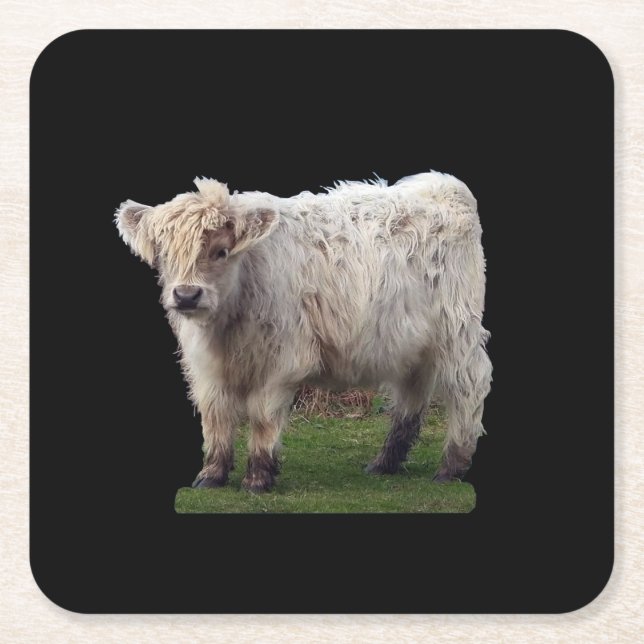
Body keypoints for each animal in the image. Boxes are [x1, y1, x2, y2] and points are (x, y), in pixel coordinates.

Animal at [115, 172, 492, 493]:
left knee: (468, 387)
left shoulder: (280, 361)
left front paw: (258, 477)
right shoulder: (206, 368)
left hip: (458, 331)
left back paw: (451, 466)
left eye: (221, 251)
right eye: (164, 255)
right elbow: (216, 416)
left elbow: (262, 416)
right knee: (412, 395)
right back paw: (385, 462)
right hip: (410, 342)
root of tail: (443, 184)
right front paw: (212, 475)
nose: (186, 295)